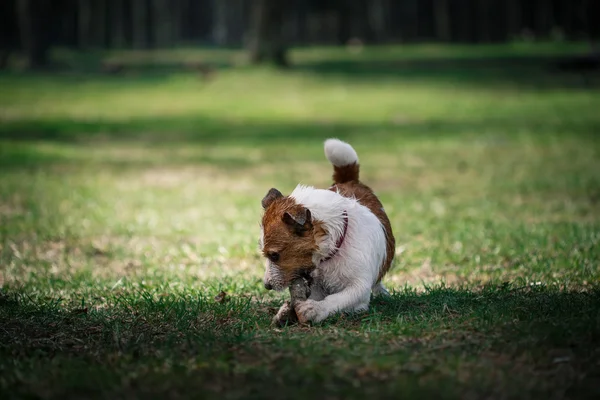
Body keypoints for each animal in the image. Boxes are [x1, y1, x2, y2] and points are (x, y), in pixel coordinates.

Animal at [258, 139, 394, 324]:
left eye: (274, 255)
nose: (267, 285)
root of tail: (349, 181)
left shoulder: (359, 287)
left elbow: (339, 299)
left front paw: (316, 309)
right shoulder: (315, 285)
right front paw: (286, 312)